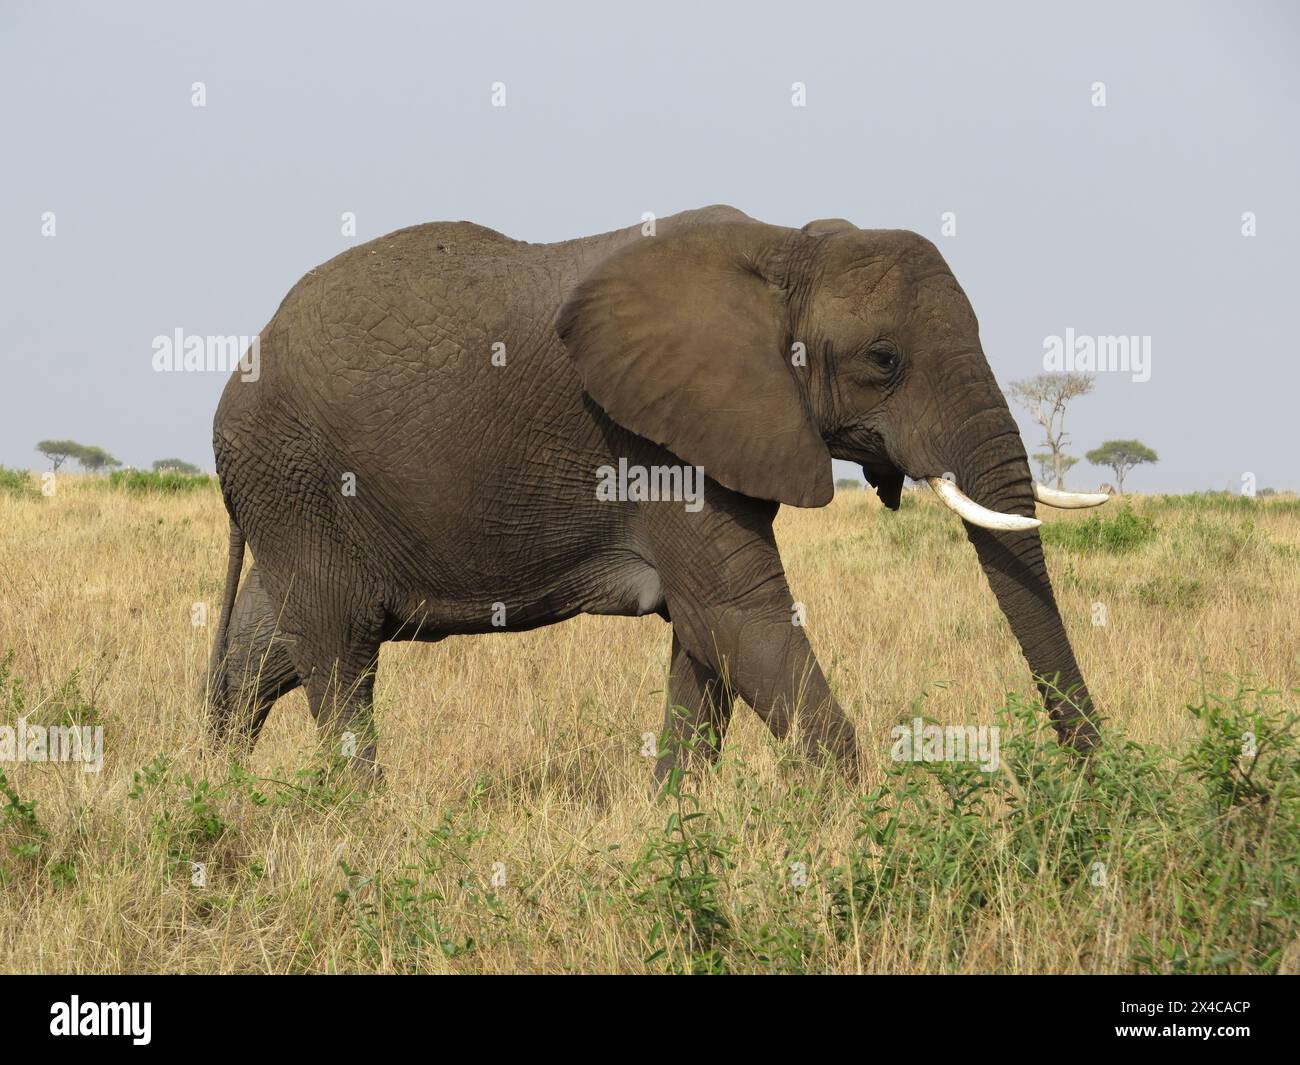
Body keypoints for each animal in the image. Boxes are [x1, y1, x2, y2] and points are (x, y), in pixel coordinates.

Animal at [206, 204, 1106, 780]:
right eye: (883, 360)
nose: (1097, 784)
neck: (787, 249)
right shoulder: (649, 439)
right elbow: (739, 617)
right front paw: (857, 827)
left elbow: (705, 643)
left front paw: (679, 822)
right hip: (294, 473)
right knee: (337, 653)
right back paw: (361, 823)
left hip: (293, 491)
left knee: (263, 649)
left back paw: (219, 793)